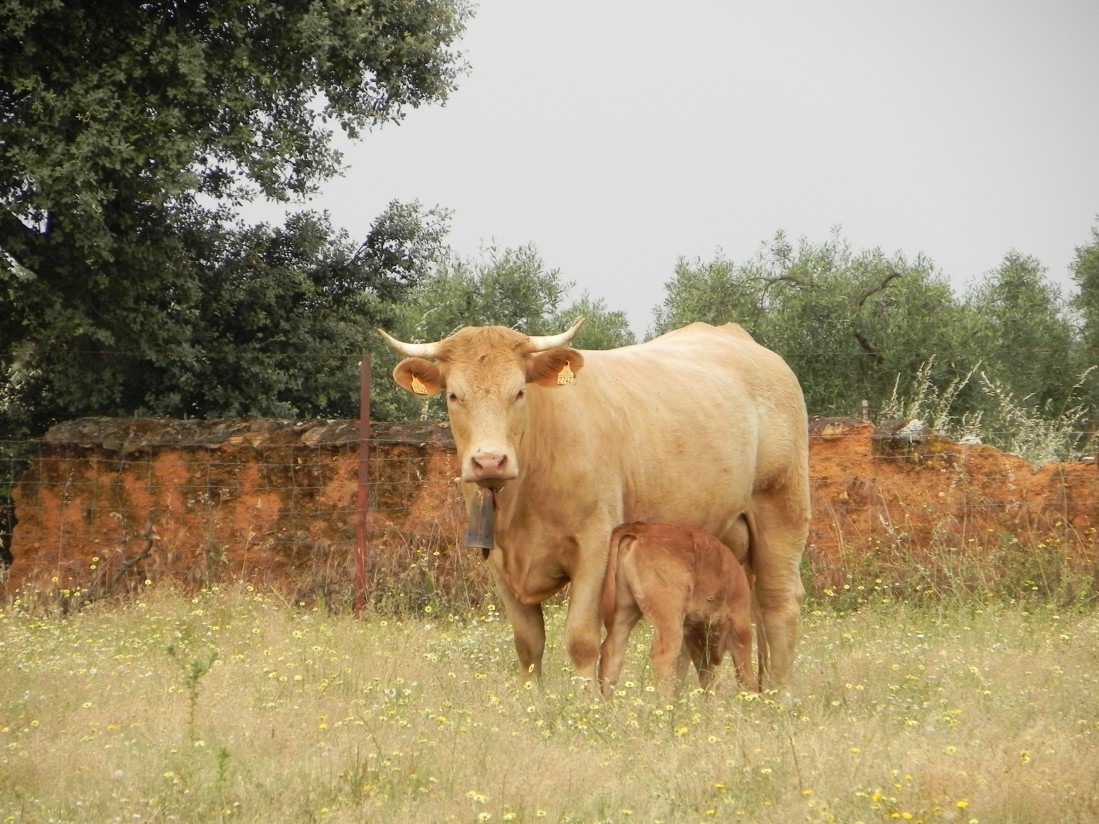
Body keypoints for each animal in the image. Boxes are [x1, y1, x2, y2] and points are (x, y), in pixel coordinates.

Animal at [602, 518, 756, 698]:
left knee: (611, 653)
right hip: (669, 617)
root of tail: (640, 529)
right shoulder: (741, 628)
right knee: (663, 655)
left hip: (625, 612)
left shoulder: (693, 643)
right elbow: (745, 677)